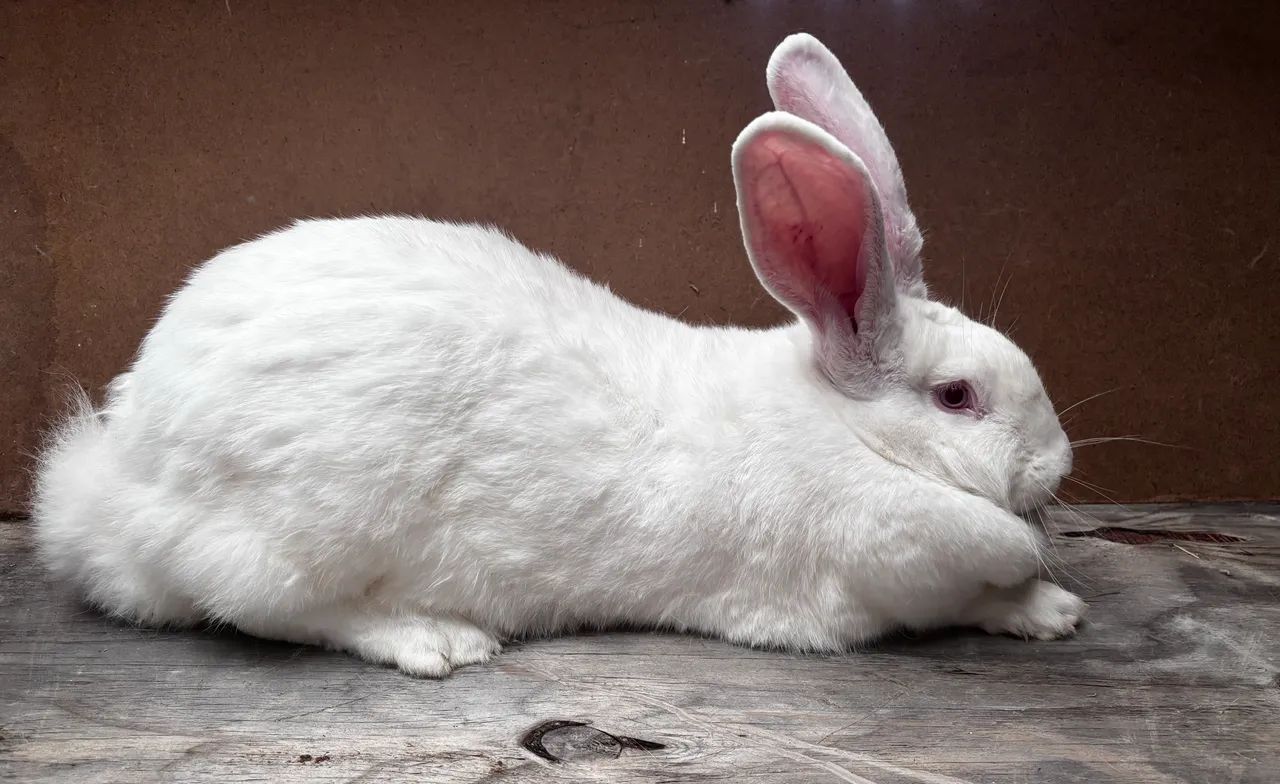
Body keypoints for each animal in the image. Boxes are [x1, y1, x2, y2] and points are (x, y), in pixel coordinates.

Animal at [32, 33, 1084, 678]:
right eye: (957, 397)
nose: (1056, 463)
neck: (849, 428)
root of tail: (119, 475)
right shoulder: (875, 568)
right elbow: (978, 568)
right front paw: (1042, 592)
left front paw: (1056, 610)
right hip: (308, 525)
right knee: (261, 605)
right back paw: (436, 638)